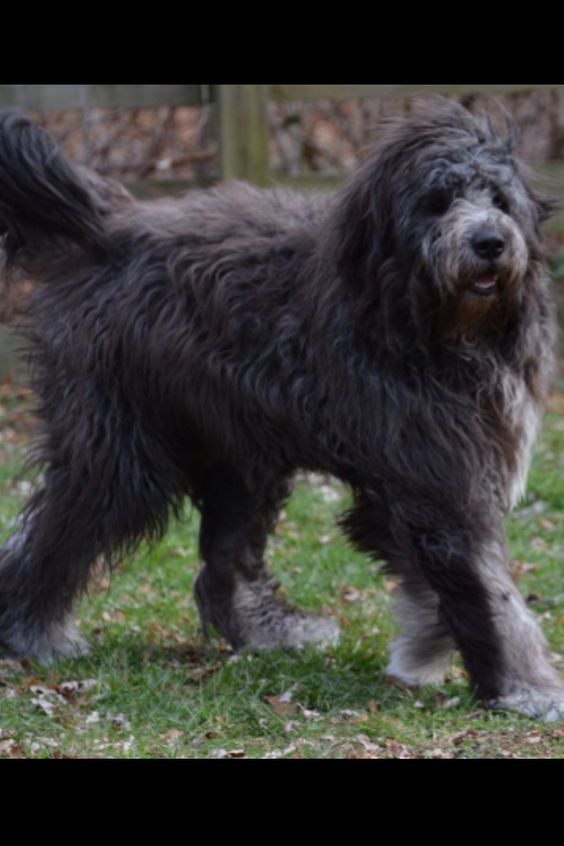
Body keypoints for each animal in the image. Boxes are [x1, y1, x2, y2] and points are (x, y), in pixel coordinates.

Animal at [0, 102, 560, 720]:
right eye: (437, 202)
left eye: (499, 199)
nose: (490, 242)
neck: (423, 321)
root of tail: (111, 226)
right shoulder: (436, 478)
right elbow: (489, 590)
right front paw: (525, 686)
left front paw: (425, 647)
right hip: (123, 446)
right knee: (63, 523)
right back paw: (31, 634)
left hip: (238, 448)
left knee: (226, 556)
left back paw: (268, 631)